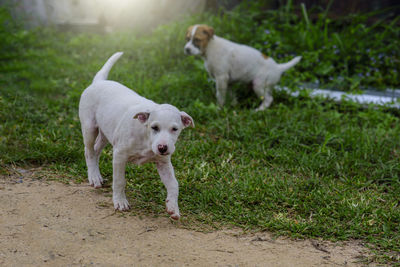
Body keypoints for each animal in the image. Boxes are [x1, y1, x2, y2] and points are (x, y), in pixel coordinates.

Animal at [78, 52, 194, 220]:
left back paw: (97, 175)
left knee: (96, 149)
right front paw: (120, 202)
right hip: (89, 127)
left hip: (106, 132)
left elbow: (174, 184)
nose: (163, 147)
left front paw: (173, 207)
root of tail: (99, 82)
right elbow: (120, 181)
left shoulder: (163, 163)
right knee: (89, 150)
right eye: (154, 127)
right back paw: (93, 177)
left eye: (175, 129)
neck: (146, 139)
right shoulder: (119, 156)